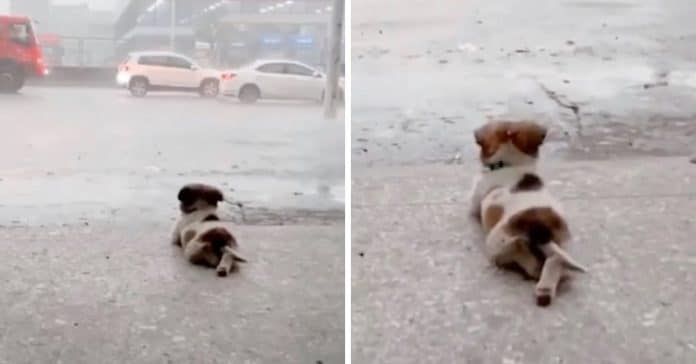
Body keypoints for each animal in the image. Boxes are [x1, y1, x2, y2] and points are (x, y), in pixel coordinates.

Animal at [468, 121, 588, 306]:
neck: (512, 164)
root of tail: (540, 227)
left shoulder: (475, 201)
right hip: (565, 245)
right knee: (555, 262)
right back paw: (545, 290)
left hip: (496, 241)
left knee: (519, 254)